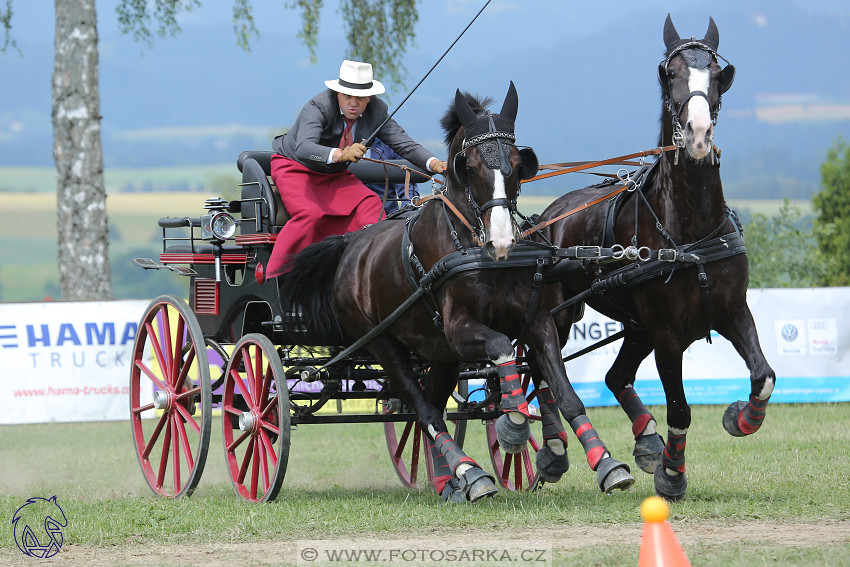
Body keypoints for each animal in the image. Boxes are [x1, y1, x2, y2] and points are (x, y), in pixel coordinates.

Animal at [282, 84, 632, 502]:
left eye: (517, 164)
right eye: (473, 166)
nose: (501, 240)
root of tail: (352, 243)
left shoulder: (537, 323)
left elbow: (564, 392)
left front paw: (602, 461)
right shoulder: (460, 330)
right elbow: (501, 349)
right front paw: (514, 426)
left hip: (438, 353)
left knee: (430, 407)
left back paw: (448, 480)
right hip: (384, 343)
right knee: (426, 412)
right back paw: (470, 472)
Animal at [536, 14, 776, 502]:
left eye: (717, 75)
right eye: (672, 73)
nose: (699, 135)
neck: (690, 230)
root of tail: (550, 214)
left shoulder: (732, 310)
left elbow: (763, 376)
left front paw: (742, 418)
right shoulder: (667, 334)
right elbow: (681, 409)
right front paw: (672, 473)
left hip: (635, 323)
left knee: (613, 376)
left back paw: (645, 438)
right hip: (563, 314)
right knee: (541, 367)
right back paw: (555, 450)